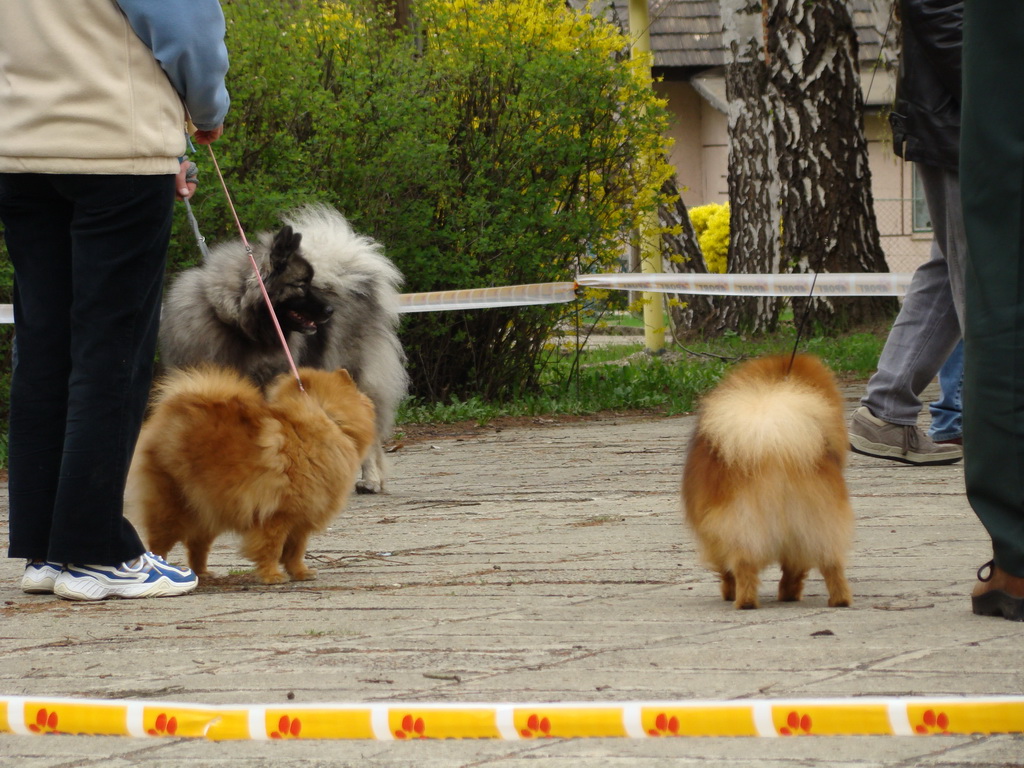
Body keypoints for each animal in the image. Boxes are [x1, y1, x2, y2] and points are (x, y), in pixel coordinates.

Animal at [125, 366, 376, 581]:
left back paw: (203, 573)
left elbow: (296, 550)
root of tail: (177, 407)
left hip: (207, 509)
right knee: (159, 543)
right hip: (172, 506)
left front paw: (300, 572)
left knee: (197, 545)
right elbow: (272, 548)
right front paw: (272, 576)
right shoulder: (277, 515)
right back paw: (162, 569)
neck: (322, 416)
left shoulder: (301, 518)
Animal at [159, 204, 407, 493]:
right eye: (301, 285)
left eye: (310, 282)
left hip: (353, 373)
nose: (329, 310)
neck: (237, 327)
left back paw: (370, 479)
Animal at [679, 354, 856, 614]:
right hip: (818, 523)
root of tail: (774, 447)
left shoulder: (712, 532)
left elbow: (725, 569)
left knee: (743, 565)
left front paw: (729, 591)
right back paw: (838, 599)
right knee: (830, 562)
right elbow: (793, 568)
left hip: (741, 524)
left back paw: (744, 602)